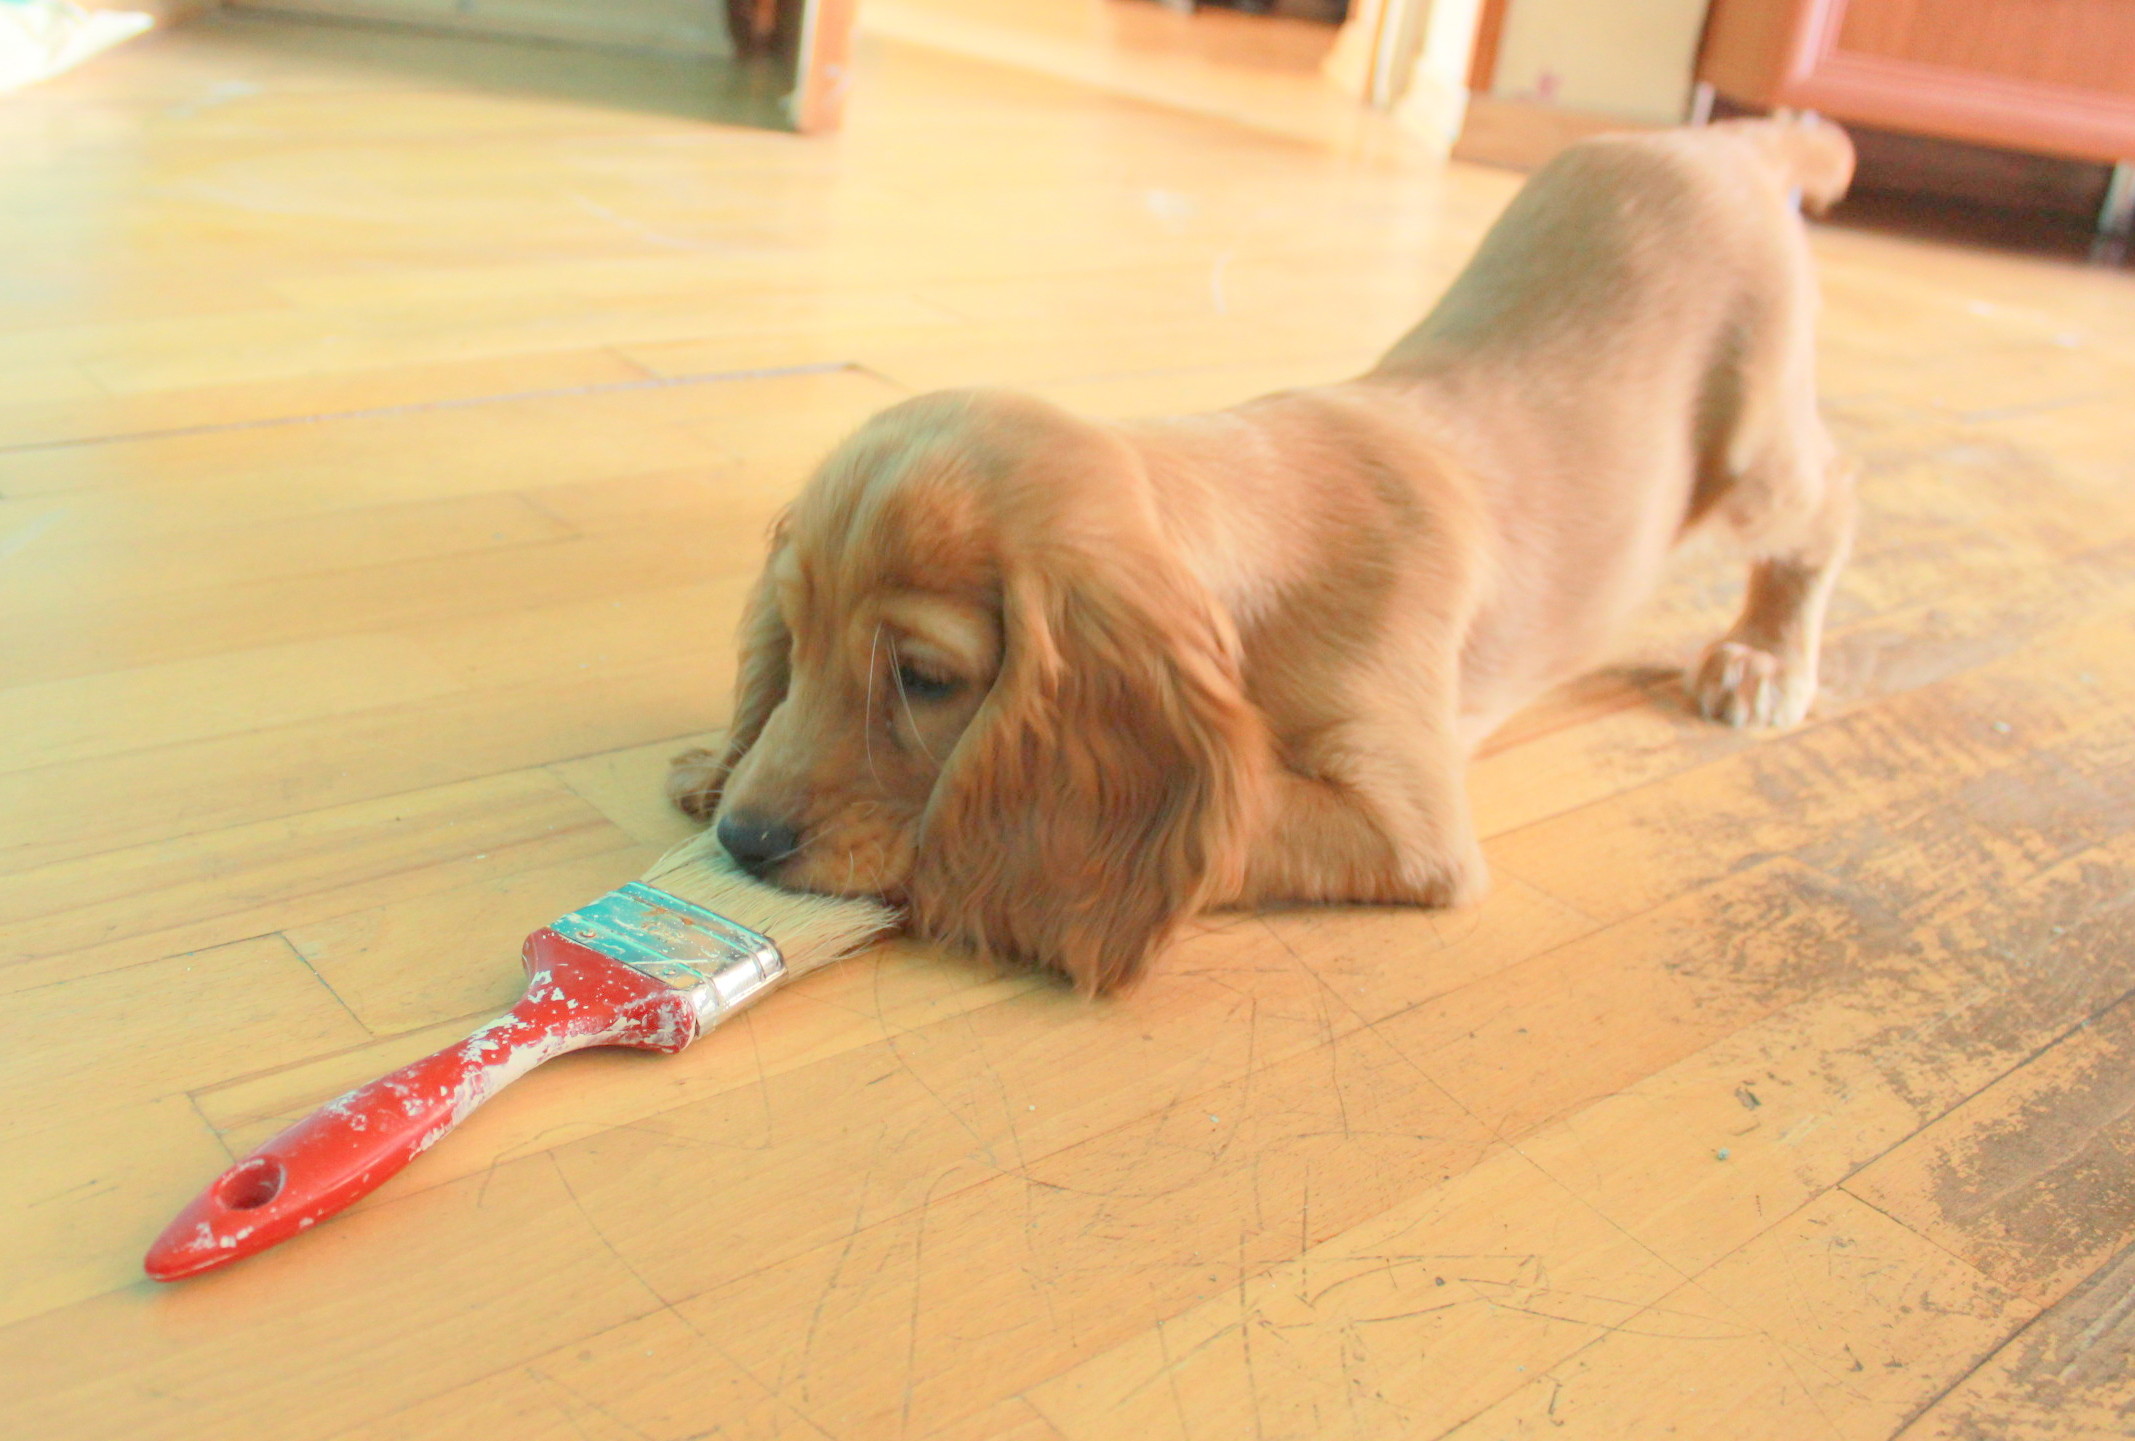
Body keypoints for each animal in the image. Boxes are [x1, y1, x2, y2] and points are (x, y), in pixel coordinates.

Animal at [670, 115, 1858, 995]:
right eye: (797, 641)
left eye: (922, 679)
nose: (744, 839)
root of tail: (1728, 143)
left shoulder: (1406, 820)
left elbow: (1227, 816)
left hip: (1755, 451)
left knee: (1824, 509)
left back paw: (1764, 659)